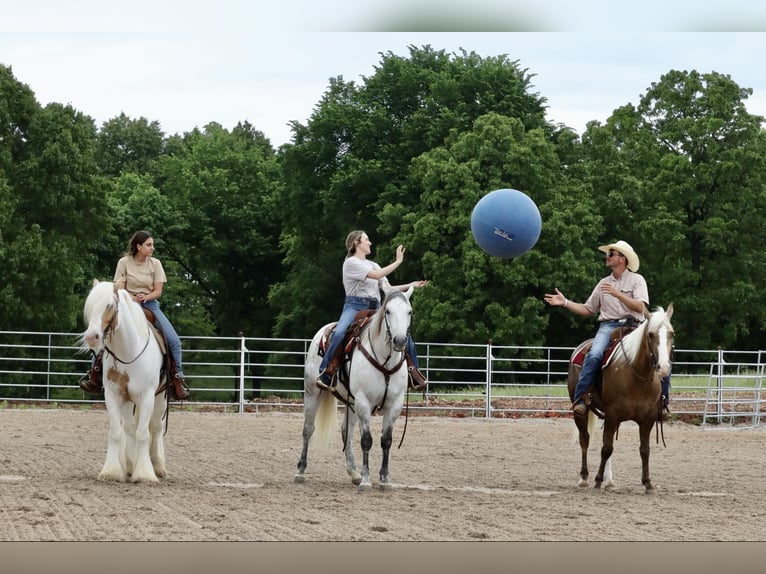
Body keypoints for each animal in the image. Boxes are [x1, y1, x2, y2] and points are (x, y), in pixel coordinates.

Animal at [79, 282, 166, 484]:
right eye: (90, 306)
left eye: (110, 305)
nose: (91, 337)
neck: (129, 352)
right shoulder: (112, 395)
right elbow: (117, 432)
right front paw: (111, 471)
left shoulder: (147, 396)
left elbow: (143, 433)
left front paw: (145, 474)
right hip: (127, 401)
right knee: (129, 428)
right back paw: (129, 465)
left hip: (161, 398)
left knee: (156, 427)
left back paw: (158, 467)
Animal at [296, 286, 416, 490]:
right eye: (388, 311)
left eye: (409, 312)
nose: (400, 341)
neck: (385, 361)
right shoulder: (363, 401)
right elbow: (366, 440)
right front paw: (367, 479)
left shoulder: (395, 404)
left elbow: (386, 440)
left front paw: (384, 480)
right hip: (313, 392)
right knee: (308, 429)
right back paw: (300, 471)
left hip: (350, 402)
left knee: (346, 432)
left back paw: (353, 472)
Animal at [568, 306, 676, 496]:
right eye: (651, 334)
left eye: (671, 334)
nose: (663, 367)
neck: (637, 377)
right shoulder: (613, 414)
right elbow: (606, 449)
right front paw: (597, 480)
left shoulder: (647, 419)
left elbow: (644, 450)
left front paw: (648, 483)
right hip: (580, 412)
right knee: (585, 439)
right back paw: (584, 478)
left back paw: (609, 481)